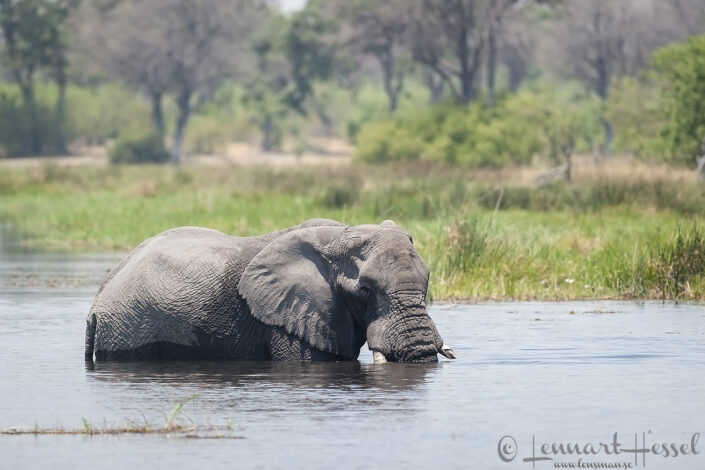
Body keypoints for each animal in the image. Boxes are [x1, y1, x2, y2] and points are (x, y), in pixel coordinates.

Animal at [85, 218, 456, 363]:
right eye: (364, 290)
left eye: (428, 281)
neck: (341, 235)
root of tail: (98, 300)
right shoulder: (290, 323)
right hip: (130, 328)